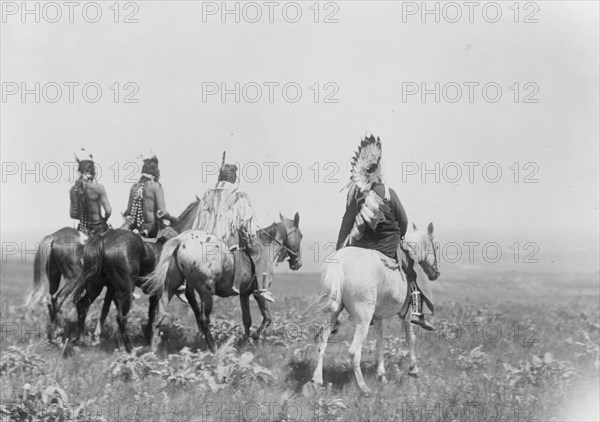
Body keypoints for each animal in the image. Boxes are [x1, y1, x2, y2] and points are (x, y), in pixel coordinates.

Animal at [72, 199, 199, 352]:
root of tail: (102, 240)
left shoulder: (154, 293)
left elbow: (151, 315)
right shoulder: (168, 292)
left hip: (96, 285)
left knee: (83, 305)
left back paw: (81, 340)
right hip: (126, 289)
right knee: (121, 317)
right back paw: (129, 349)